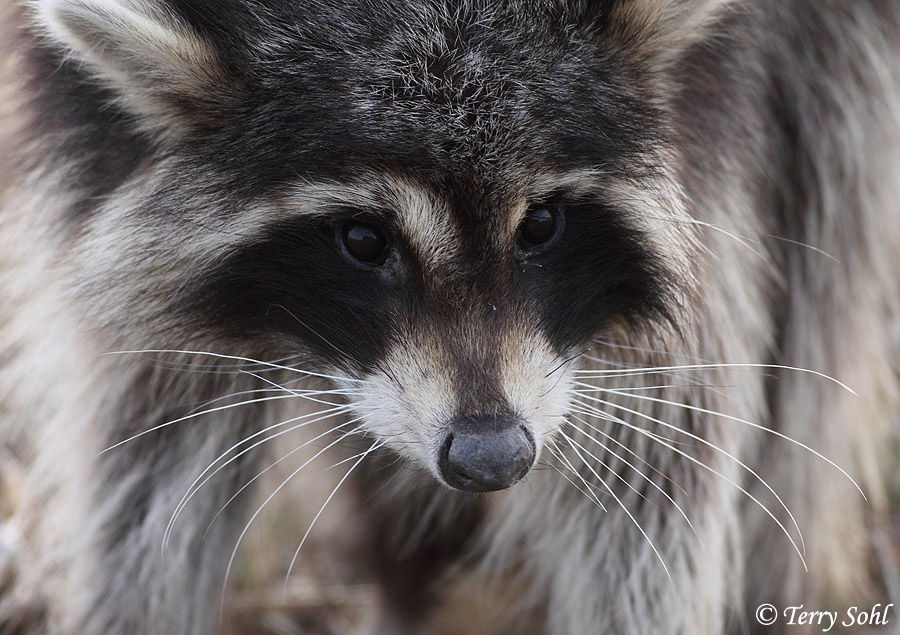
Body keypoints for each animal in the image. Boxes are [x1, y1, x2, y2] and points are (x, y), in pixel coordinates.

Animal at [1, 0, 899, 633]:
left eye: (542, 223)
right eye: (363, 239)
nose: (491, 454)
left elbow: (652, 460)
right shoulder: (85, 126)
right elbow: (153, 428)